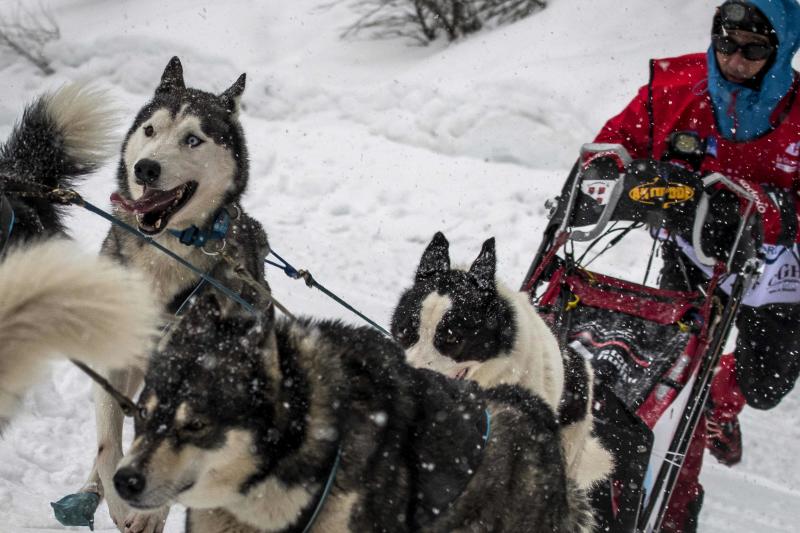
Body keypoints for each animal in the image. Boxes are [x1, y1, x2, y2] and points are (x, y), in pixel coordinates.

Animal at [75, 56, 276, 528]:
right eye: (150, 130)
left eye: (193, 139)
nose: (145, 168)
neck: (165, 252)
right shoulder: (116, 360)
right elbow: (107, 444)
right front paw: (116, 498)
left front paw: (150, 512)